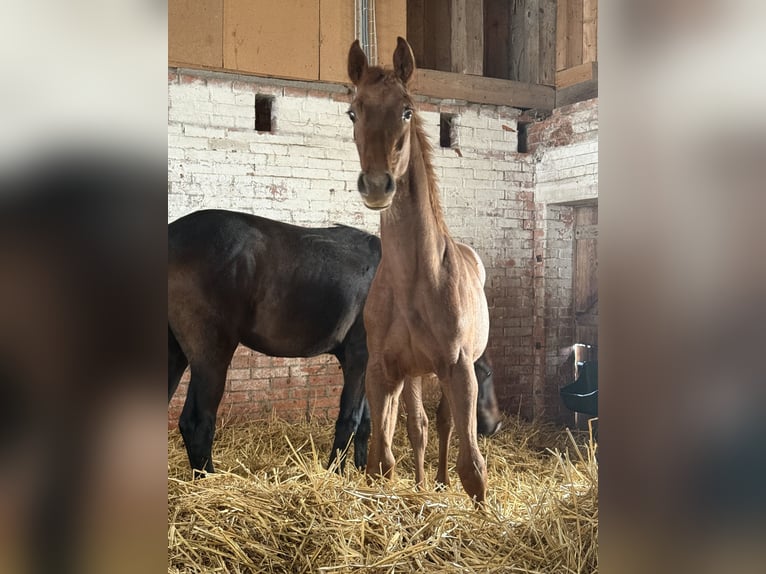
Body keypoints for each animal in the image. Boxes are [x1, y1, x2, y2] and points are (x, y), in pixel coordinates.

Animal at [168, 209, 501, 476]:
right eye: (485, 373)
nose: (494, 425)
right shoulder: (359, 359)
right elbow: (349, 420)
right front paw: (336, 473)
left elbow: (368, 422)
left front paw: (365, 470)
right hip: (212, 355)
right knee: (198, 422)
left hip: (177, 353)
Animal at [347, 38, 492, 502]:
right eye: (353, 112)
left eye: (407, 110)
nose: (377, 186)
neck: (413, 282)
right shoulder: (382, 372)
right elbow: (381, 461)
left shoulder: (460, 370)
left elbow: (473, 470)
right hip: (413, 374)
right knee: (420, 427)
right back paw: (426, 483)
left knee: (444, 425)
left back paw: (440, 482)